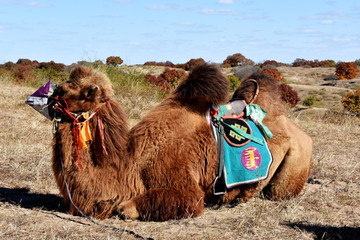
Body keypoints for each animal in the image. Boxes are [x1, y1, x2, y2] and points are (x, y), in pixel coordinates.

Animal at [28, 63, 310, 221]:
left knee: (277, 192)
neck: (132, 165)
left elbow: (128, 208)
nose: (36, 97)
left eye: (64, 90)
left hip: (293, 168)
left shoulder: (183, 183)